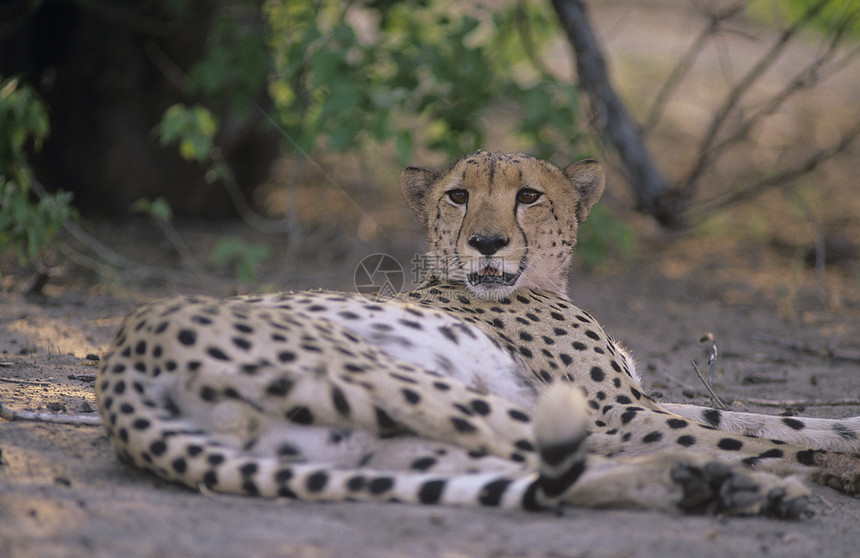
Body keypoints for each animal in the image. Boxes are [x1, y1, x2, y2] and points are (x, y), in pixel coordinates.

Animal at [95, 151, 860, 520]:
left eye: (529, 196)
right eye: (457, 196)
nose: (487, 243)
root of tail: (121, 354)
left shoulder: (633, 400)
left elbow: (762, 419)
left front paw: (840, 434)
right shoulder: (612, 409)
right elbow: (748, 434)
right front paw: (824, 463)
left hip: (381, 449)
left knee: (547, 477)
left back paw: (726, 491)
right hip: (422, 390)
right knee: (594, 458)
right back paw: (738, 483)